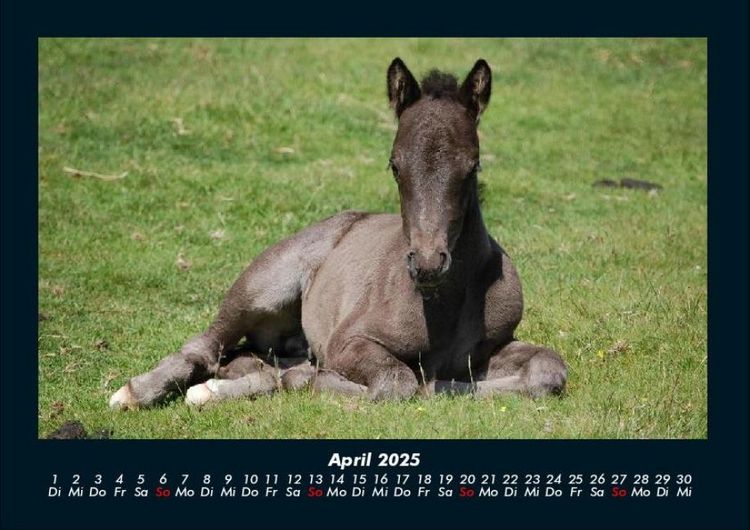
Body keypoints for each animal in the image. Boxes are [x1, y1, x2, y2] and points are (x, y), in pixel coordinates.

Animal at [109, 58, 567, 410]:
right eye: (395, 165)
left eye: (472, 166)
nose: (427, 263)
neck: (442, 306)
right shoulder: (348, 342)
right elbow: (396, 383)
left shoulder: (491, 347)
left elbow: (548, 370)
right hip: (265, 284)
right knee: (207, 345)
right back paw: (136, 393)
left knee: (251, 360)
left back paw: (219, 389)